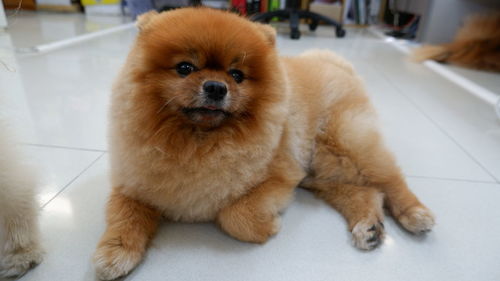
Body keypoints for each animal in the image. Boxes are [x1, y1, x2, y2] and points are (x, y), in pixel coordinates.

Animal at [93, 7, 434, 278]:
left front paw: (267, 227)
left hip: (345, 145)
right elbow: (124, 216)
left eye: (237, 75)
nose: (216, 87)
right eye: (185, 68)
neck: (198, 142)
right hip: (321, 171)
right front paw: (115, 253)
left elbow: (234, 215)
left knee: (388, 179)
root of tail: (335, 63)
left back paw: (415, 214)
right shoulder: (134, 186)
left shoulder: (280, 178)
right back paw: (368, 226)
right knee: (363, 191)